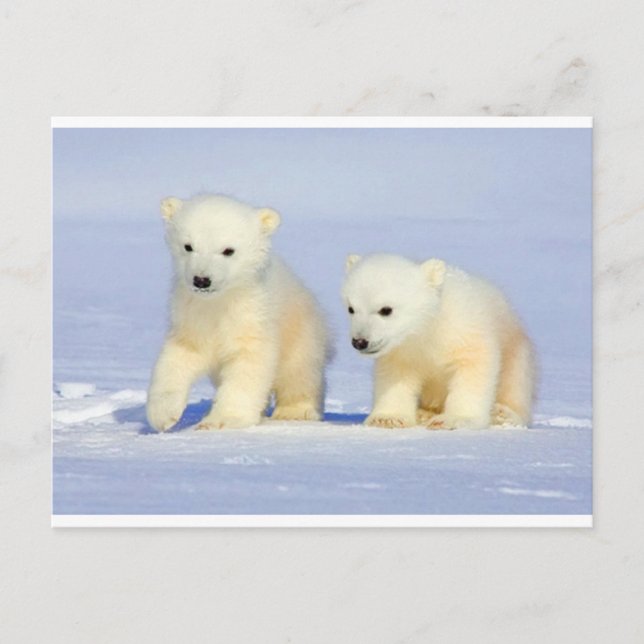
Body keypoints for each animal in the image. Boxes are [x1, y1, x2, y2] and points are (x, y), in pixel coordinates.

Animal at [146, 194, 329, 431]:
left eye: (228, 250)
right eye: (188, 246)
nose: (202, 280)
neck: (219, 302)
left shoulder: (252, 316)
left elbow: (247, 365)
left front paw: (221, 420)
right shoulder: (191, 315)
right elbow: (178, 357)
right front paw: (163, 415)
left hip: (301, 331)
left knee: (299, 372)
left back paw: (296, 412)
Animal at [341, 254, 535, 430]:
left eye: (386, 310)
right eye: (351, 308)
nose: (359, 341)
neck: (429, 327)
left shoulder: (464, 330)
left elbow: (473, 368)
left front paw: (454, 420)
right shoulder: (402, 350)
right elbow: (396, 375)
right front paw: (387, 419)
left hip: (517, 352)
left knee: (516, 385)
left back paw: (502, 414)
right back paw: (423, 413)